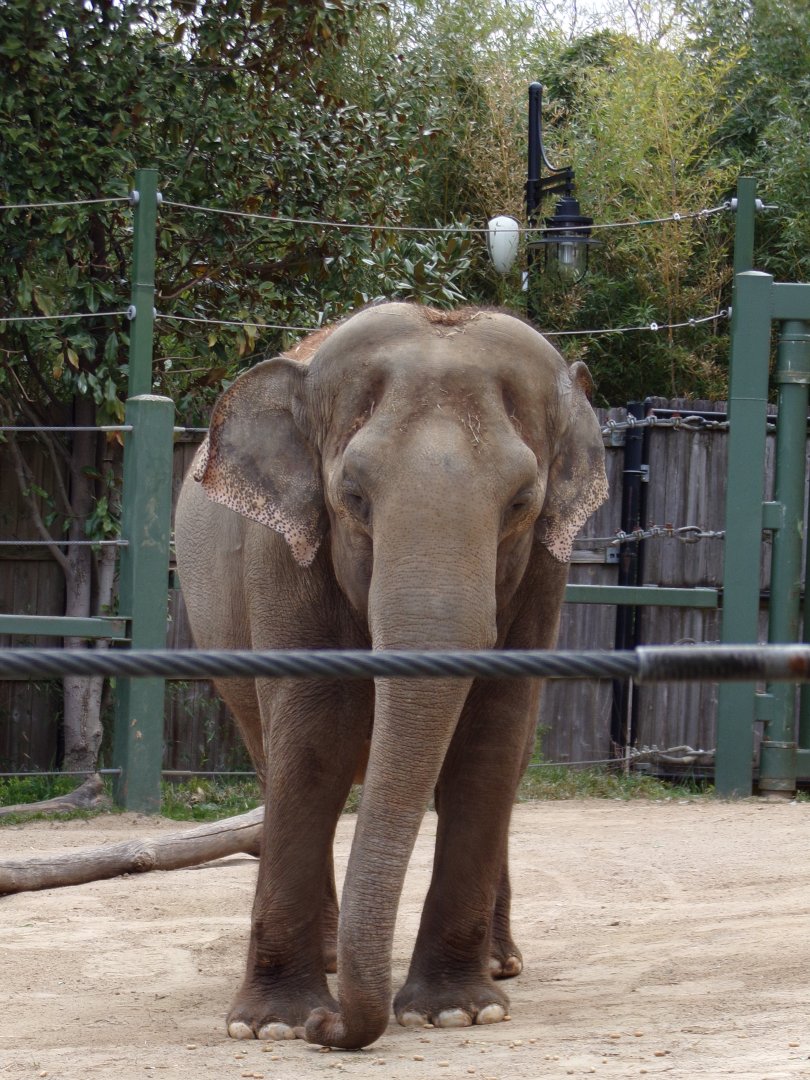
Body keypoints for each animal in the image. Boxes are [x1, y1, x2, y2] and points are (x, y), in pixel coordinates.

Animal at [174, 301, 608, 1050]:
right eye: (352, 495)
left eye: (522, 502)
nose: (330, 1026)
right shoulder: (282, 555)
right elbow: (314, 739)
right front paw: (271, 1026)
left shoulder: (549, 572)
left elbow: (491, 740)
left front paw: (457, 1011)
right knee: (271, 754)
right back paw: (328, 958)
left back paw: (502, 965)